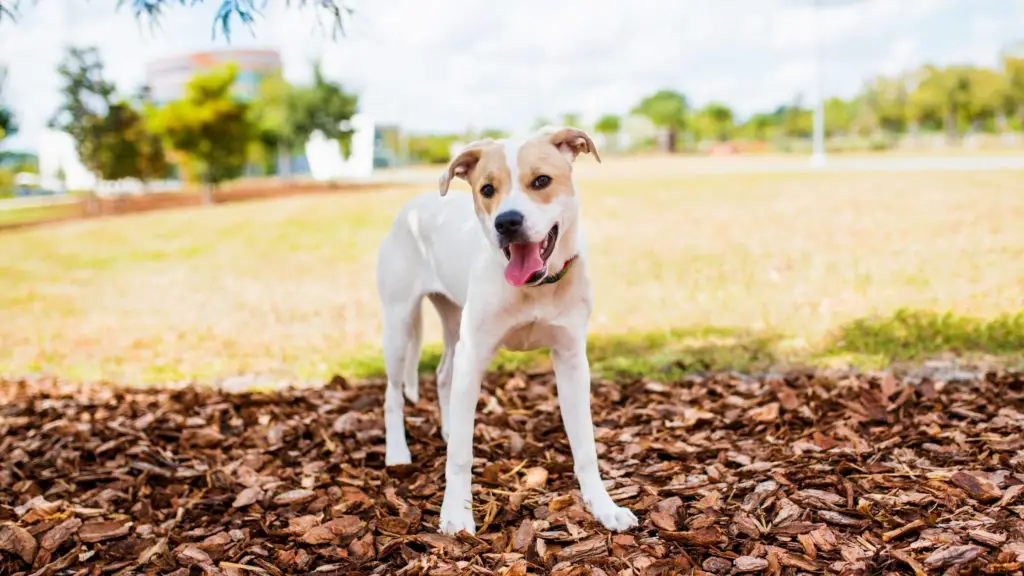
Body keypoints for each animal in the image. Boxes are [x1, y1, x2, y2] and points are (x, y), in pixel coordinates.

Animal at [372, 125, 634, 532]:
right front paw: (456, 516)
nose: (507, 222)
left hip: (454, 322)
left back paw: (450, 427)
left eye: (541, 181)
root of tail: (413, 207)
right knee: (392, 394)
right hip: (399, 326)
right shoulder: (475, 354)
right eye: (487, 189)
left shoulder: (572, 360)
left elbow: (586, 446)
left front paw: (603, 506)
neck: (535, 287)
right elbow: (460, 458)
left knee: (445, 373)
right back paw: (398, 452)